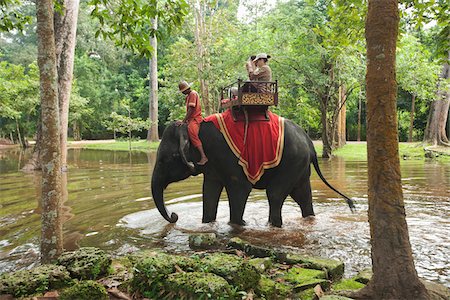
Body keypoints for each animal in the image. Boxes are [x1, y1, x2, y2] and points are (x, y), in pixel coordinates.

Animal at [151, 118, 356, 226]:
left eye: (165, 160)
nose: (174, 216)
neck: (194, 127)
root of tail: (310, 144)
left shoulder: (228, 158)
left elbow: (240, 189)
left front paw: (238, 225)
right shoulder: (212, 165)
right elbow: (209, 191)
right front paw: (207, 224)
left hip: (292, 163)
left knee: (275, 194)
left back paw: (272, 226)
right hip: (300, 166)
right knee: (302, 196)